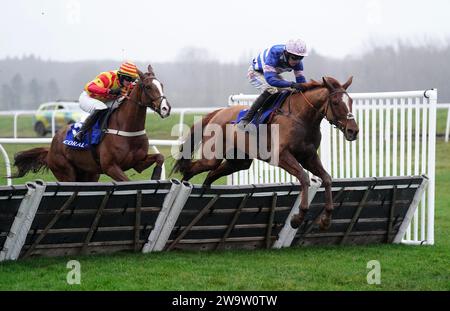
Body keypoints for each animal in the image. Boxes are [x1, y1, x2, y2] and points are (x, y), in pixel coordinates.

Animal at [12, 65, 171, 183]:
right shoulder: (110, 167)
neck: (127, 128)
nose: (166, 108)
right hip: (65, 172)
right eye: (148, 86)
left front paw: (156, 176)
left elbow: (160, 157)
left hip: (90, 173)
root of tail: (50, 147)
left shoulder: (137, 162)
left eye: (162, 85)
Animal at [174, 77, 360, 230]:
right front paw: (298, 218)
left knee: (211, 174)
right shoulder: (282, 156)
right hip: (212, 156)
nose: (353, 131)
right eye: (335, 102)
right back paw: (185, 188)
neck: (302, 118)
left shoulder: (309, 157)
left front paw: (326, 219)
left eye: (350, 101)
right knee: (192, 169)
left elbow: (327, 178)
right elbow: (304, 177)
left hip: (239, 161)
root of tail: (219, 112)